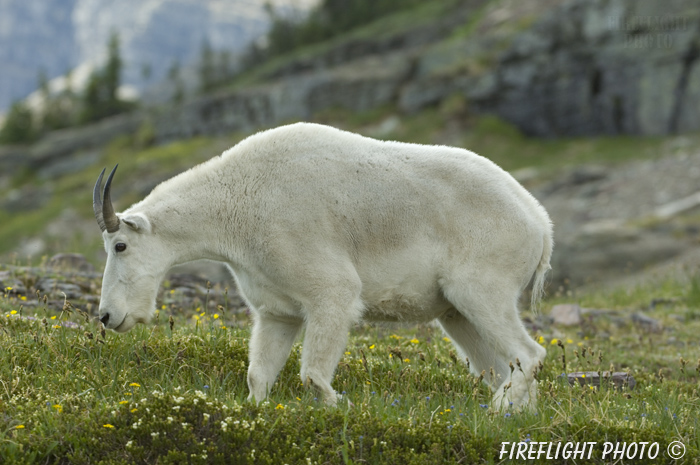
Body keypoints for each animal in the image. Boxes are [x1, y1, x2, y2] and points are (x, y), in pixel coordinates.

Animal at [93, 121, 552, 408]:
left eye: (119, 245)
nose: (107, 316)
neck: (234, 205)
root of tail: (540, 223)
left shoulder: (326, 286)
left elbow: (315, 367)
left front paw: (342, 404)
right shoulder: (275, 306)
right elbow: (258, 374)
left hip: (484, 280)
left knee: (528, 353)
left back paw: (501, 407)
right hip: (455, 310)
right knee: (497, 363)